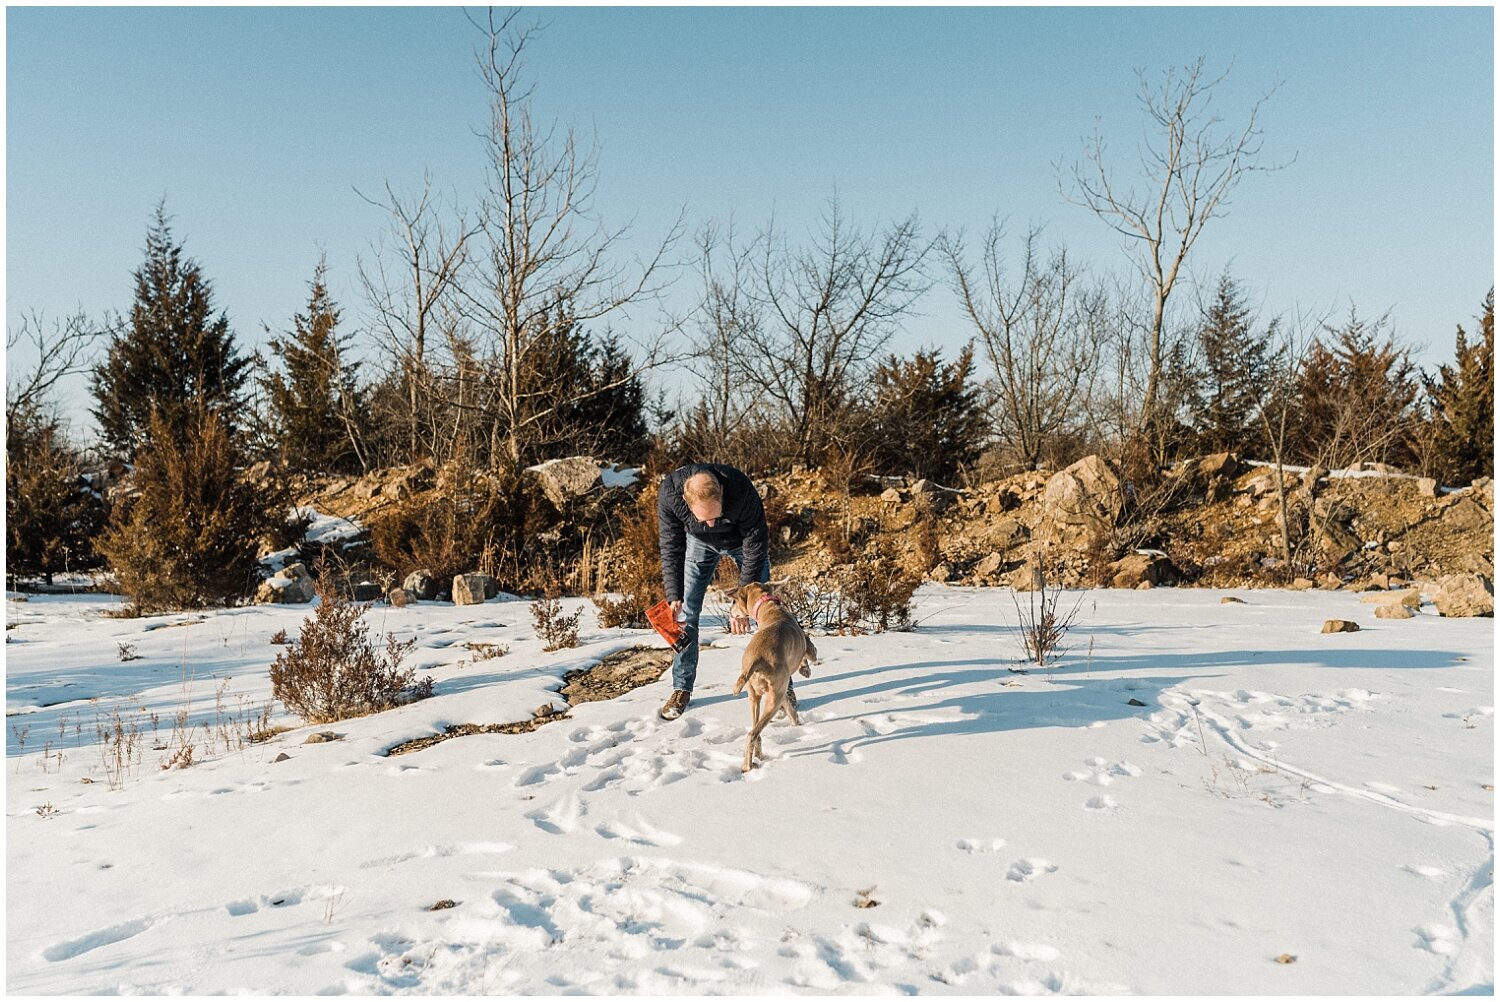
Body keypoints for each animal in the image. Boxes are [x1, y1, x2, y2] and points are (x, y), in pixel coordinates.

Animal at [729, 579, 822, 774]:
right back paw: (747, 766)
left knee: (756, 730)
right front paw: (806, 669)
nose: (730, 611)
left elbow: (791, 710)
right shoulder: (806, 645)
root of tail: (756, 659)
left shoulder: (779, 690)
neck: (769, 608)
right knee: (752, 733)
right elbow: (811, 653)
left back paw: (756, 758)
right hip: (773, 698)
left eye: (734, 601)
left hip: (755, 696)